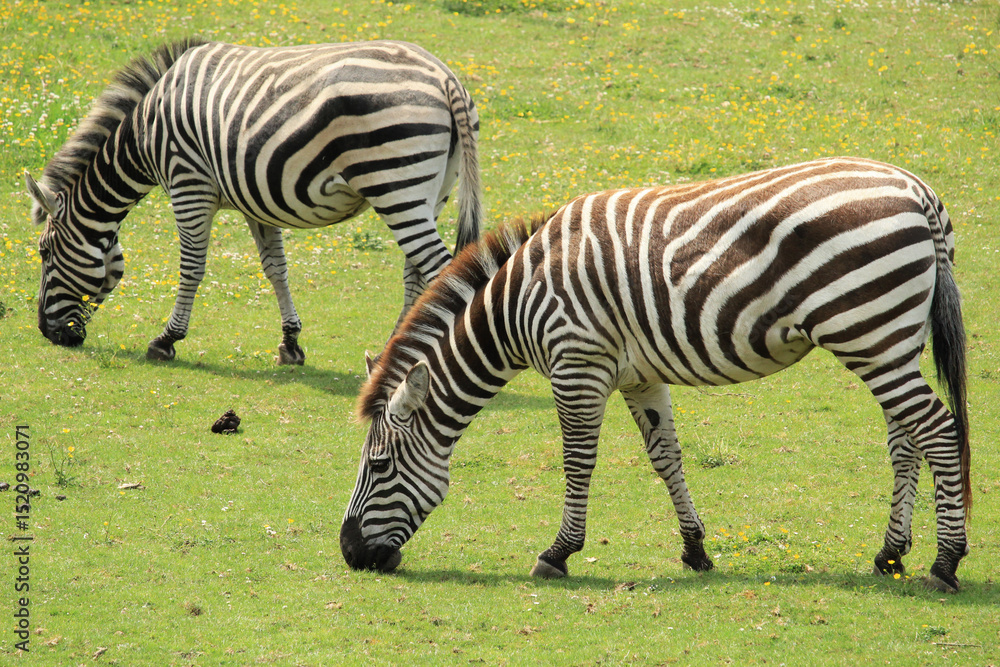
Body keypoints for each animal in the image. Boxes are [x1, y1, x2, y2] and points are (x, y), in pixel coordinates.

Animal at [25, 38, 482, 365]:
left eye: (45, 253)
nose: (49, 334)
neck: (145, 135)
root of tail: (444, 76)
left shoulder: (188, 184)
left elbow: (192, 268)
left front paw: (167, 339)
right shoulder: (255, 198)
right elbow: (276, 269)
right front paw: (291, 343)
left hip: (395, 184)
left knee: (441, 269)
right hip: (433, 191)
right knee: (416, 273)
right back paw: (396, 349)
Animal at [340, 157, 971, 592]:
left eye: (378, 465)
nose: (349, 554)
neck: (518, 303)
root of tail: (918, 191)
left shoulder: (577, 363)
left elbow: (578, 461)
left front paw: (558, 553)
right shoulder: (636, 375)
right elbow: (666, 455)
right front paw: (695, 550)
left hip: (867, 332)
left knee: (937, 431)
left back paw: (945, 563)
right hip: (891, 339)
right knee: (905, 440)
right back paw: (890, 553)